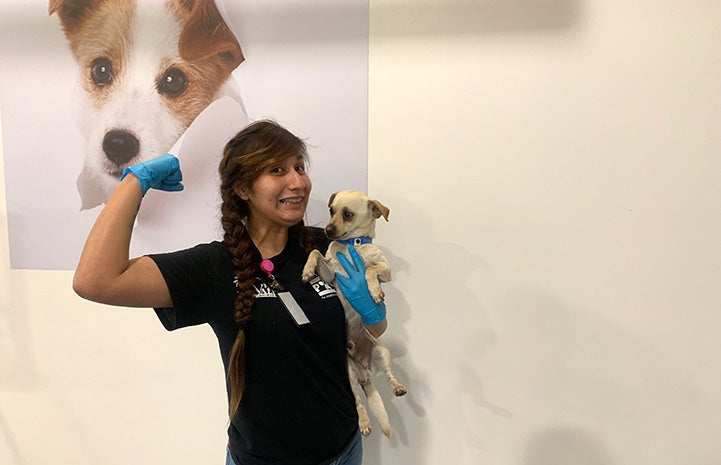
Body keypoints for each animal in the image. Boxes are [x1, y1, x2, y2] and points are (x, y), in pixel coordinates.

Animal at [300, 188, 408, 436]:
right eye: (331, 210)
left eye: (347, 214)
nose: (327, 230)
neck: (352, 245)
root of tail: (365, 375)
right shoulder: (330, 273)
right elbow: (315, 252)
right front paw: (308, 270)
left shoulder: (385, 270)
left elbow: (369, 270)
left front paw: (374, 292)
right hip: (349, 376)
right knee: (359, 403)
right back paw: (365, 423)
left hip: (382, 352)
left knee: (389, 375)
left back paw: (397, 387)